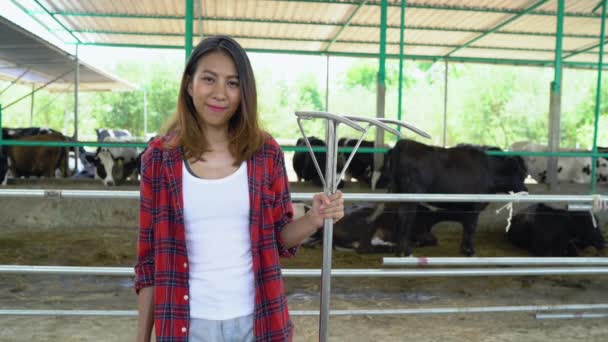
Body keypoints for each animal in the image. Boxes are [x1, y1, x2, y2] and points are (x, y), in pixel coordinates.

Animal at [390, 140, 528, 256]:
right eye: (521, 173)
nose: (526, 191)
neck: (489, 169)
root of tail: (405, 143)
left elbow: (466, 228)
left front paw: (464, 249)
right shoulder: (474, 208)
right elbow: (471, 228)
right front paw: (470, 251)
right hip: (410, 198)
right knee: (405, 219)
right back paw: (405, 251)